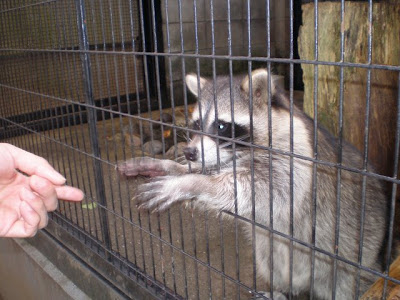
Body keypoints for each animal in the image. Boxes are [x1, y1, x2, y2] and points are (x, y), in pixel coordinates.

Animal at [118, 69, 388, 298]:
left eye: (221, 125)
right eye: (196, 124)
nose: (190, 152)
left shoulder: (295, 155)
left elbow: (264, 190)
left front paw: (189, 183)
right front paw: (174, 168)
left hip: (354, 257)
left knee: (346, 285)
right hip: (271, 254)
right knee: (272, 264)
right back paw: (282, 292)